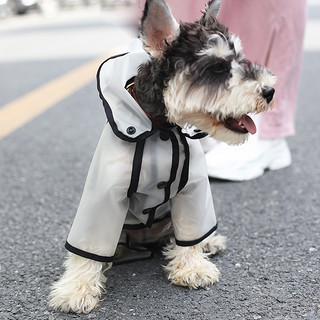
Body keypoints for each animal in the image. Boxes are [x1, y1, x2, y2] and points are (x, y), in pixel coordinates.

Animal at [48, 0, 276, 316]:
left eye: (240, 59)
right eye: (217, 67)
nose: (270, 91)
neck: (161, 127)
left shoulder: (193, 191)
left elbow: (191, 234)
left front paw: (192, 267)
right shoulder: (103, 194)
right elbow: (88, 247)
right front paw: (76, 289)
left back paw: (210, 242)